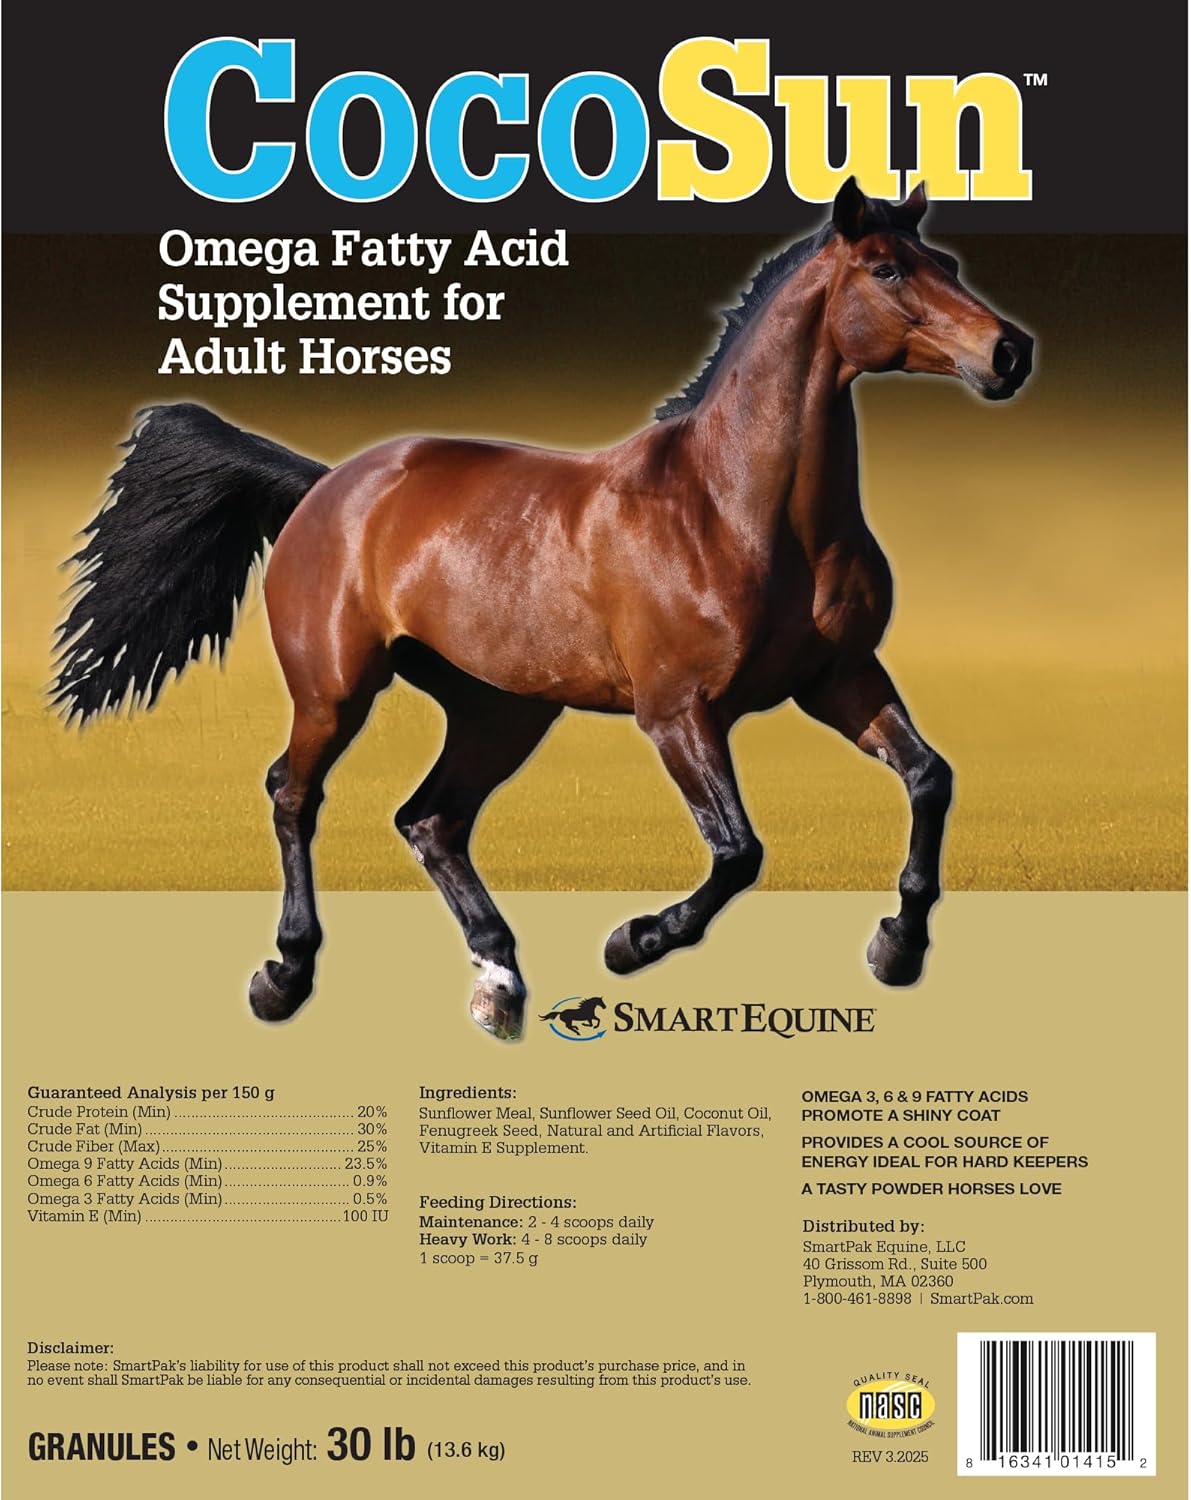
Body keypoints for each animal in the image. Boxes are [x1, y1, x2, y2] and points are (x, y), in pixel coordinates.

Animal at [52, 178, 1033, 1041]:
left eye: (944, 259)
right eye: (886, 269)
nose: (1009, 353)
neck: (735, 510)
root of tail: (328, 485)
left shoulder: (839, 679)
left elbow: (928, 778)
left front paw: (896, 946)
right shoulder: (678, 712)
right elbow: (737, 851)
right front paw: (632, 941)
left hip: (502, 711)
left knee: (431, 820)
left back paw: (498, 980)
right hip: (335, 692)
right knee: (294, 793)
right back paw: (285, 976)